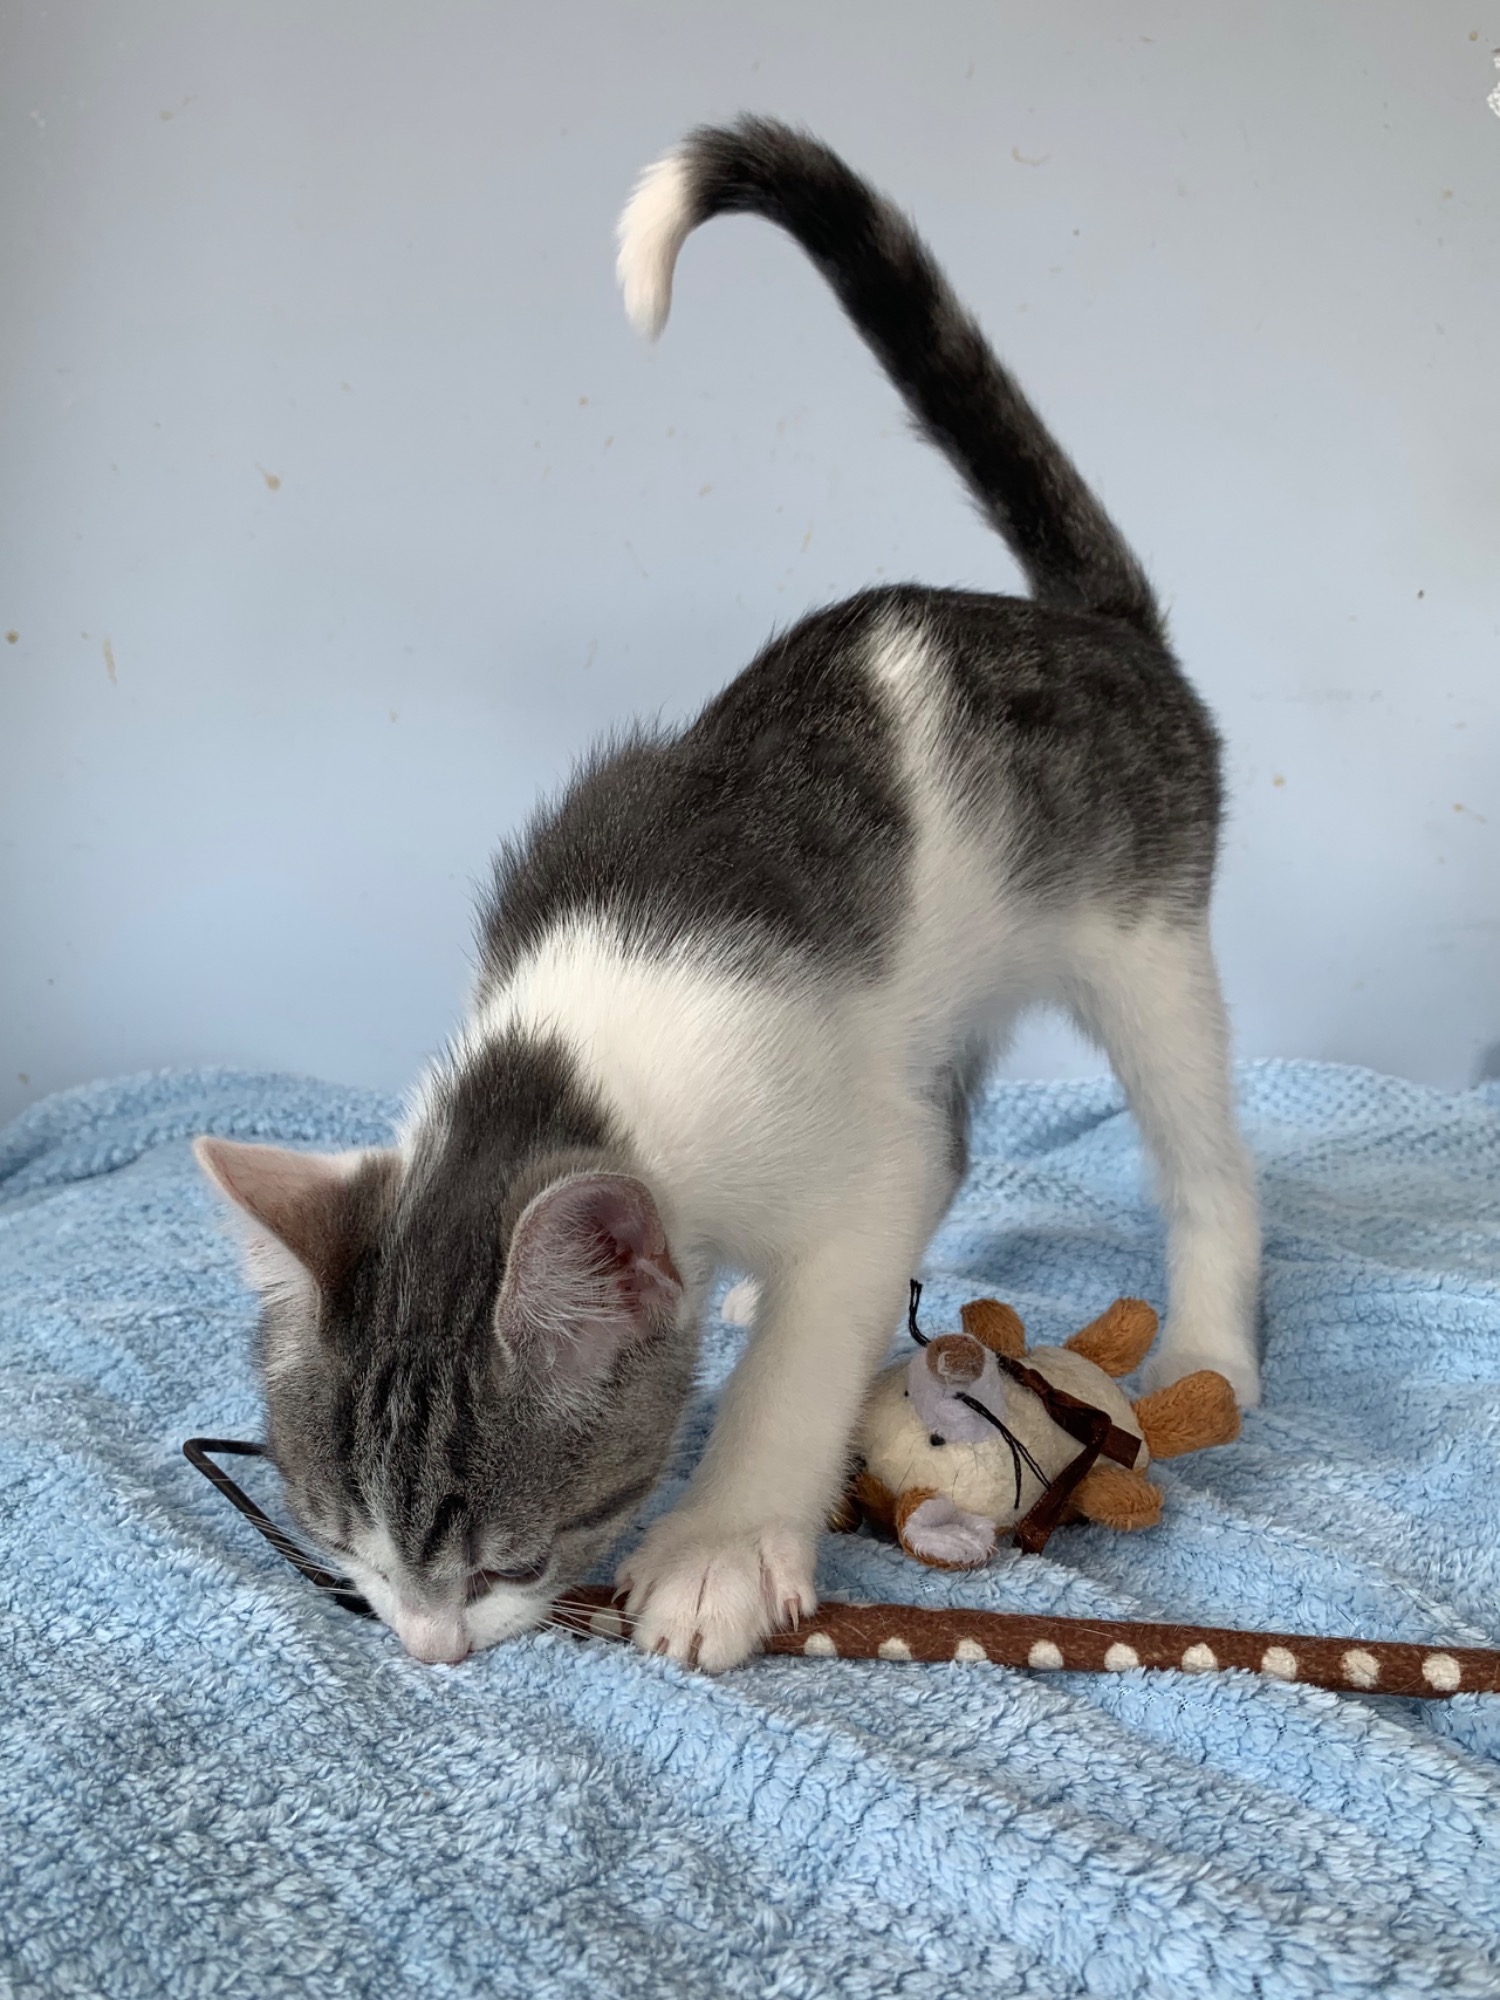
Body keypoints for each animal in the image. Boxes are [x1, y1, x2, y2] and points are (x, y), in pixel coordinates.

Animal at [195, 117, 1260, 1671]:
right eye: (346, 1542)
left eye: (508, 1556)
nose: (429, 1650)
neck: (571, 1059)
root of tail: (1096, 626)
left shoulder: (827, 1132)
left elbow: (817, 1329)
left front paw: (720, 1545)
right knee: (952, 1135)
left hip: (1144, 934)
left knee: (1200, 1159)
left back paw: (1211, 1343)